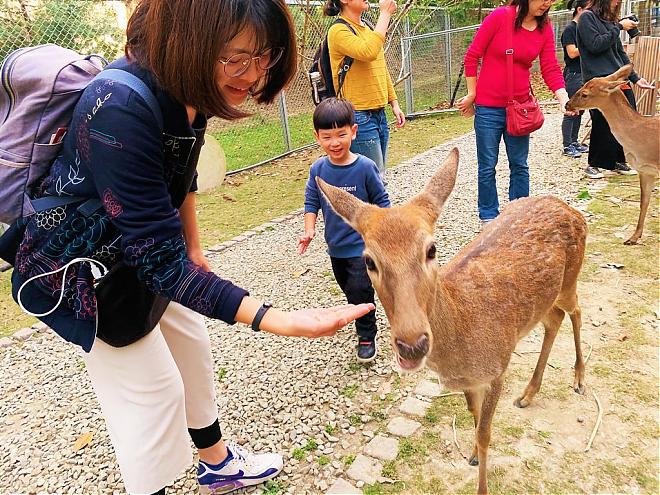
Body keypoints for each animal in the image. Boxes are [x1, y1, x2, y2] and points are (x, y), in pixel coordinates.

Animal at [316, 148, 587, 494]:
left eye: (431, 249)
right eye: (369, 261)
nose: (413, 344)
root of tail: (573, 210)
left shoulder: (498, 367)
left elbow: (485, 433)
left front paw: (482, 482)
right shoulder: (470, 382)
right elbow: (474, 416)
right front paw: (470, 455)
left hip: (570, 280)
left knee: (576, 311)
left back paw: (579, 378)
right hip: (547, 299)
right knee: (553, 319)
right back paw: (527, 394)